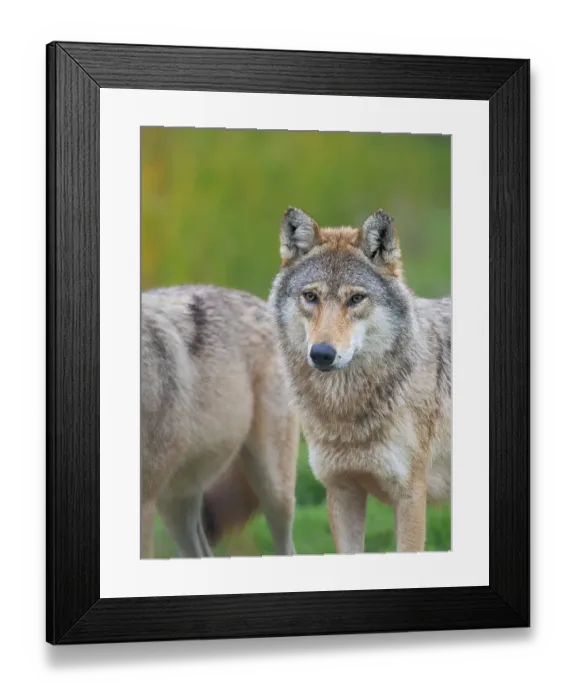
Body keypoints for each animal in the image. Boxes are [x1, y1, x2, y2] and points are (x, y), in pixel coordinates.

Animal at [269, 207, 451, 554]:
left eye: (355, 299)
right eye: (310, 296)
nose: (322, 354)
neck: (346, 413)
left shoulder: (410, 496)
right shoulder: (342, 489)